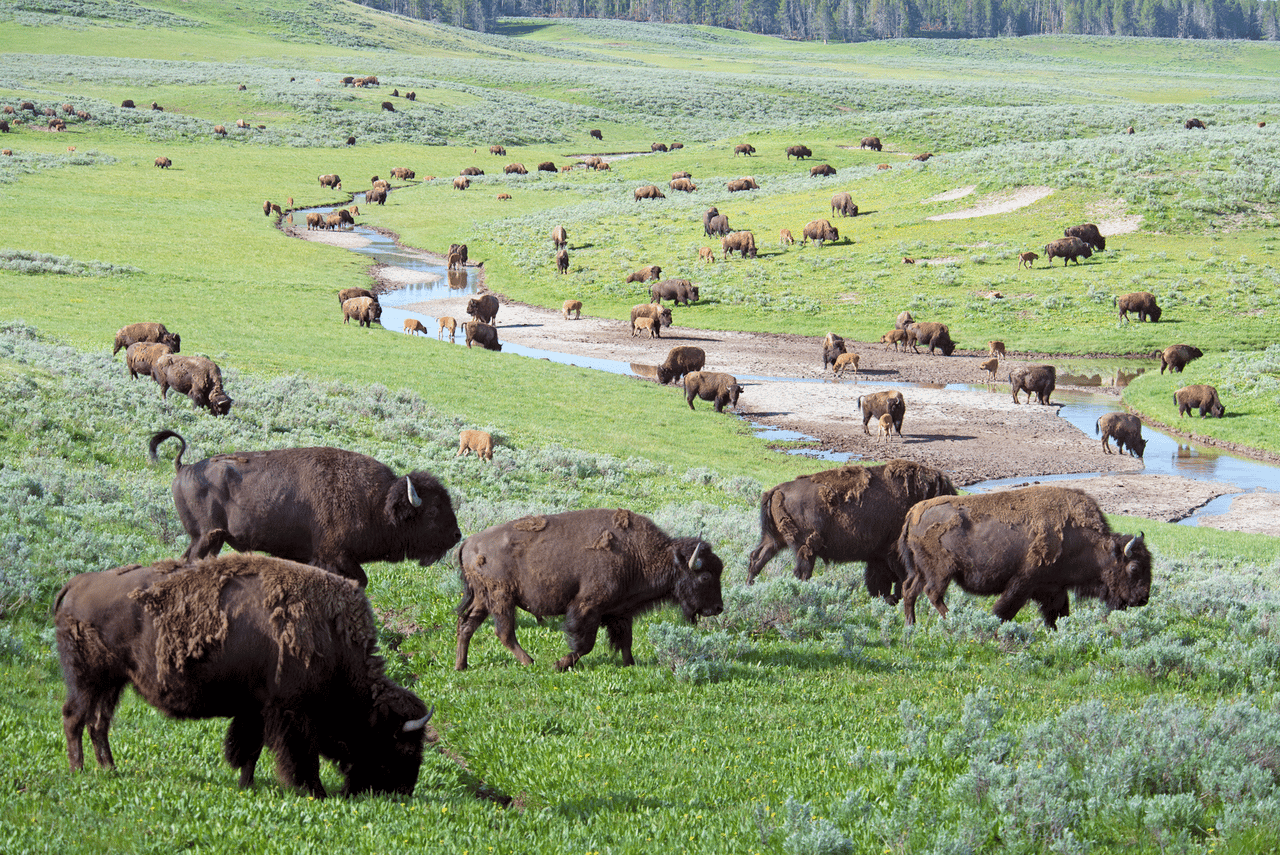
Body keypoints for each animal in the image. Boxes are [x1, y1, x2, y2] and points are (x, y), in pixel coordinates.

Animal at [55, 554, 433, 797]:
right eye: (401, 745)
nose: (403, 792)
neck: (332, 639)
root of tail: (73, 584)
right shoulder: (291, 713)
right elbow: (297, 755)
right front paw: (314, 791)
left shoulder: (255, 709)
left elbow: (249, 749)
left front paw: (246, 785)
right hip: (88, 681)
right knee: (74, 718)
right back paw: (78, 771)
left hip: (112, 683)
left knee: (98, 723)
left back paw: (109, 769)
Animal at [149, 430, 461, 588]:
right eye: (433, 511)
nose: (457, 536)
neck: (378, 502)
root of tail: (184, 467)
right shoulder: (333, 555)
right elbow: (358, 580)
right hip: (206, 537)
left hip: (210, 540)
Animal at [455, 509, 724, 670]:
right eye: (705, 576)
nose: (718, 608)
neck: (640, 555)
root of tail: (468, 542)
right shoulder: (587, 607)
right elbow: (585, 644)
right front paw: (559, 664)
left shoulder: (621, 612)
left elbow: (625, 641)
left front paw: (630, 664)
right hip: (501, 598)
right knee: (503, 631)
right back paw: (529, 661)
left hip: (484, 599)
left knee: (467, 625)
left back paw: (461, 665)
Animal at [746, 461, 956, 599]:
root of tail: (776, 490)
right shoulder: (892, 555)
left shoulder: (878, 557)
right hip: (804, 548)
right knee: (801, 571)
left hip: (774, 540)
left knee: (757, 558)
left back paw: (748, 586)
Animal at [898, 486, 1152, 628]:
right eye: (1133, 568)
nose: (1143, 599)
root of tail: (913, 512)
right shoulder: (1024, 582)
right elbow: (1004, 610)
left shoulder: (1054, 588)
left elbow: (1058, 614)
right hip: (940, 572)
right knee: (932, 593)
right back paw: (952, 620)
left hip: (921, 571)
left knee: (909, 590)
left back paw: (911, 626)